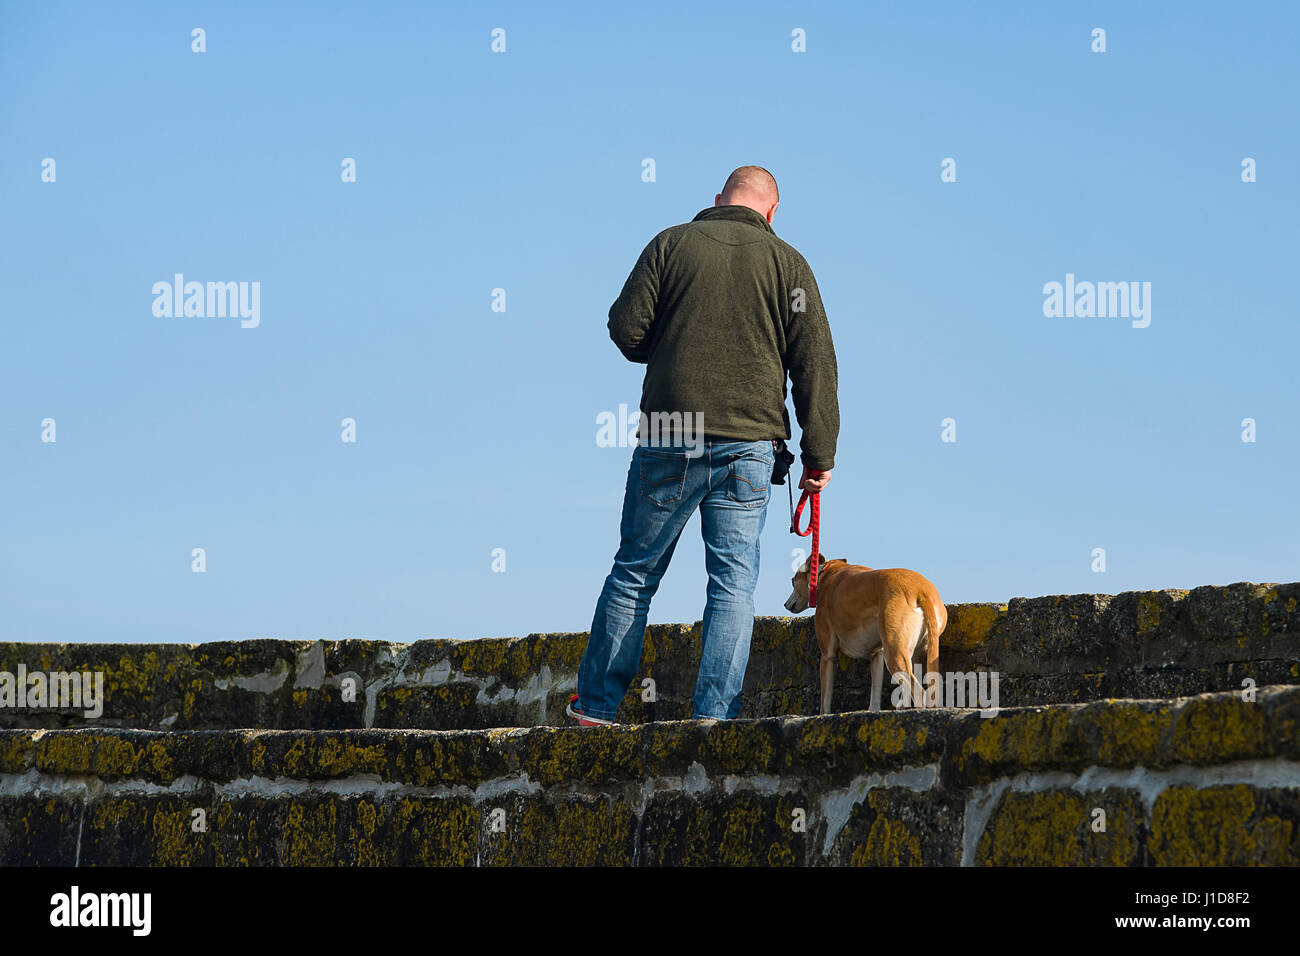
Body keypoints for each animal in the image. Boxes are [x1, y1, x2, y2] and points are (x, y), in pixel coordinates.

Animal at [785, 554, 951, 717]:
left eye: (792, 582)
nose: (786, 604)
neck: (827, 572)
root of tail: (922, 590)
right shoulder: (877, 655)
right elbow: (875, 692)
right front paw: (873, 710)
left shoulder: (827, 655)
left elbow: (825, 698)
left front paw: (822, 715)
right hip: (914, 652)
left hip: (894, 653)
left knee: (918, 692)